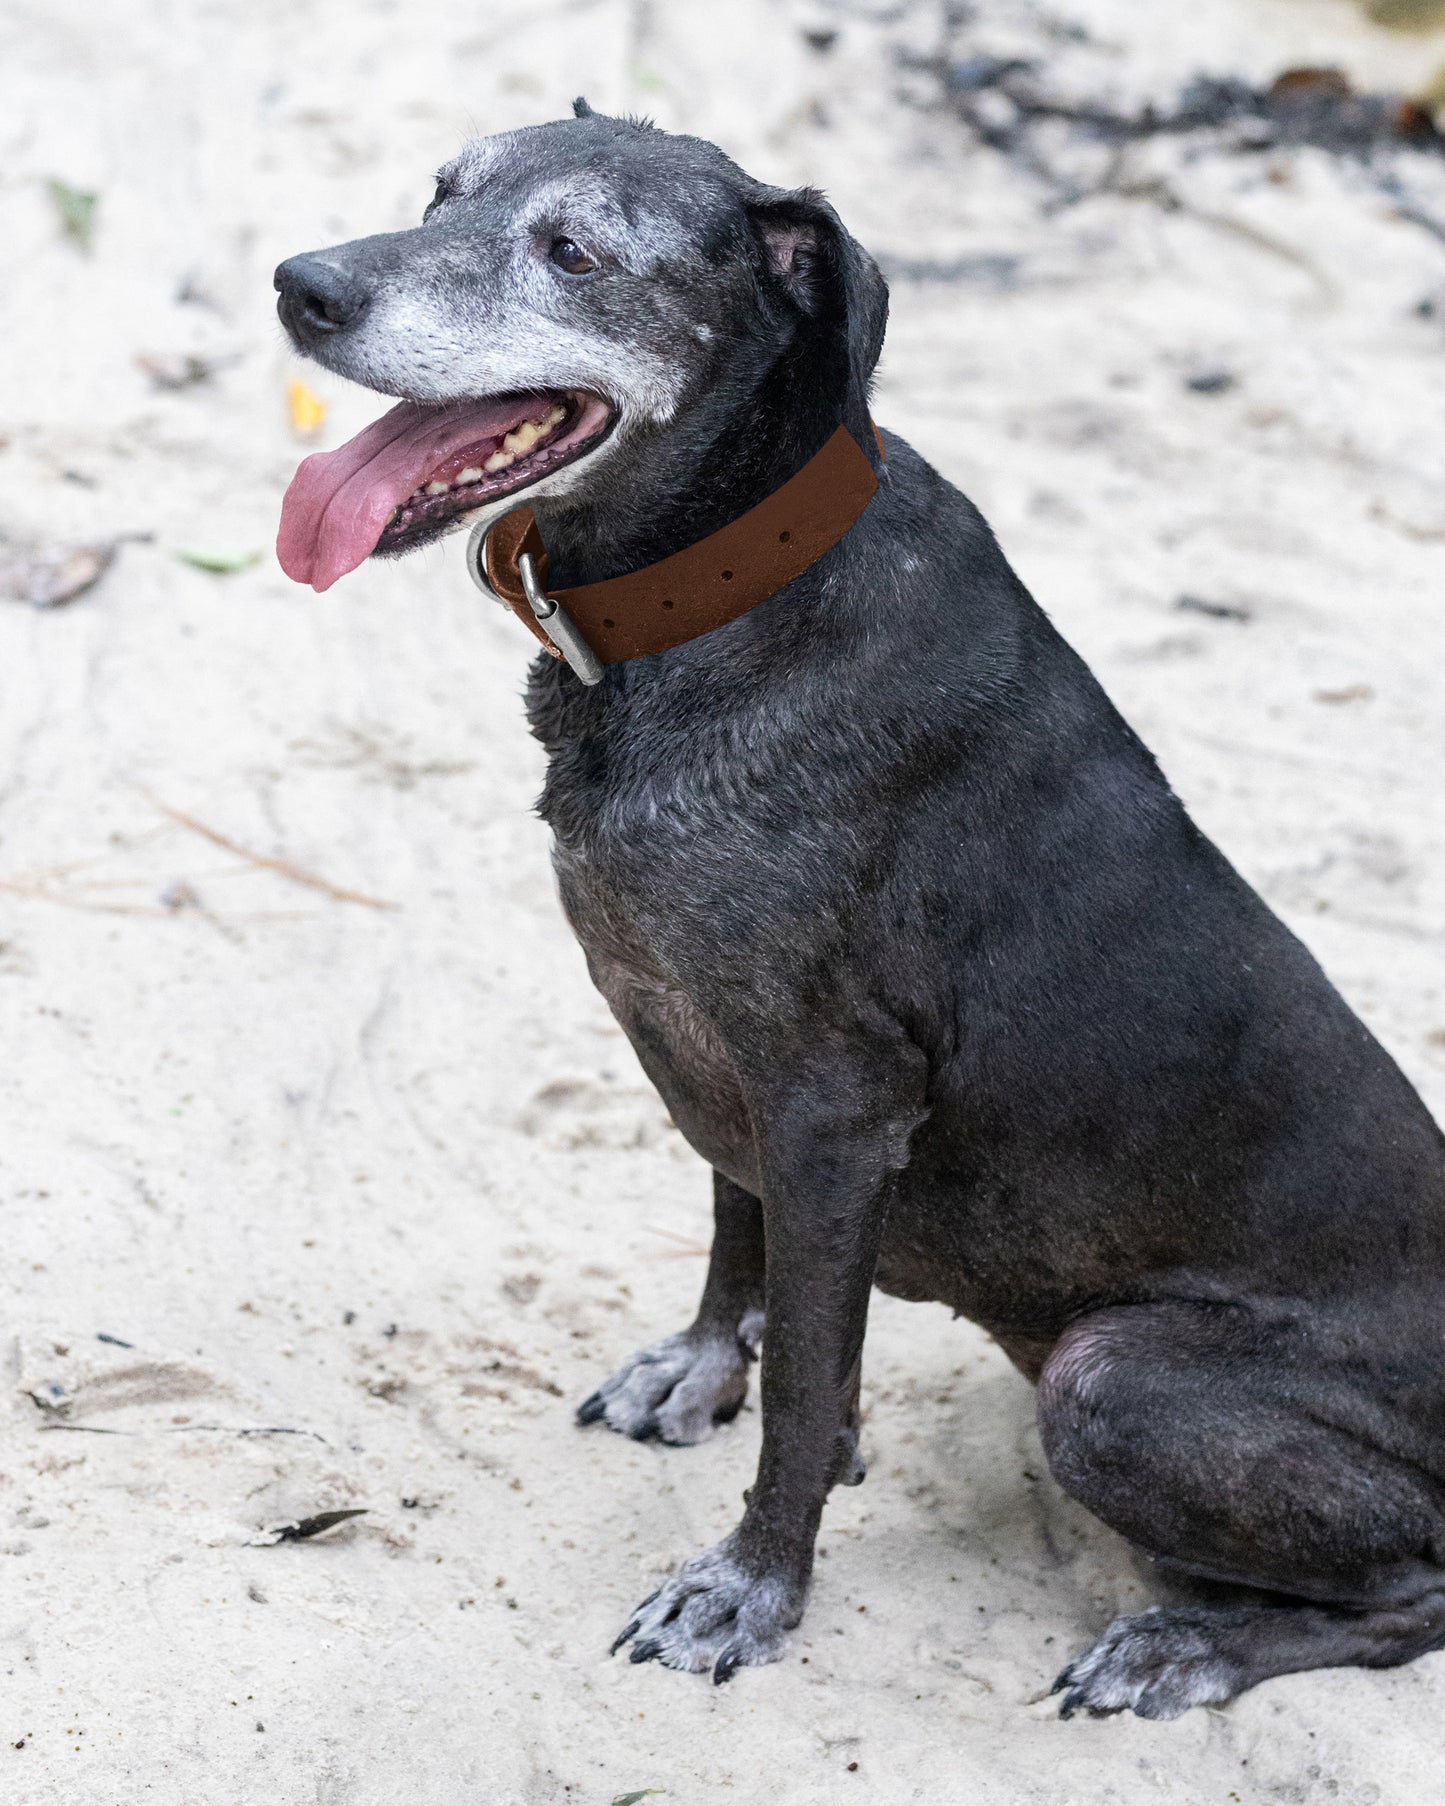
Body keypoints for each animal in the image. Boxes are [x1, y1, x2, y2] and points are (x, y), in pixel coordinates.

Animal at [276, 102, 1445, 1719]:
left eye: (572, 252)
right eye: (439, 189)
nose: (300, 288)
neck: (720, 595)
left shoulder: (832, 1108)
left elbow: (808, 1378)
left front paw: (751, 1586)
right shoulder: (720, 1058)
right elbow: (736, 1233)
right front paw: (701, 1366)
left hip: (1109, 1380)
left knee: (1412, 1590)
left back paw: (1191, 1644)